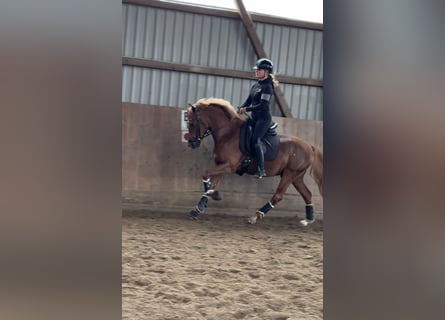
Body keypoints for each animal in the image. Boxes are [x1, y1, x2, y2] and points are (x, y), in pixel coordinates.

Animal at [184, 97, 322, 225]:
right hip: (296, 177)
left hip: (290, 173)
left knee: (278, 195)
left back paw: (255, 216)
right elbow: (211, 184)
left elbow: (205, 174)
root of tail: (309, 146)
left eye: (192, 123)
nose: (191, 143)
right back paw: (308, 220)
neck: (228, 134)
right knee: (307, 194)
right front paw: (199, 208)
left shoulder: (229, 166)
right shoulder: (221, 165)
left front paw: (213, 196)